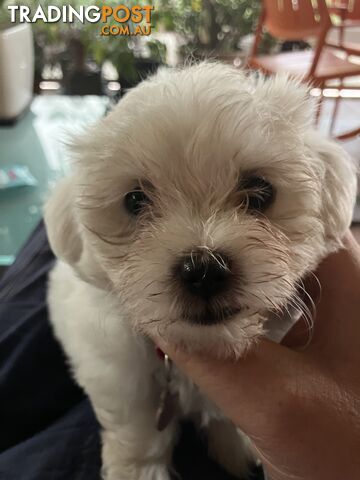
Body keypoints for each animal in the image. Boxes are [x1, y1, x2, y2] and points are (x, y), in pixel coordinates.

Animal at [43, 63, 356, 480]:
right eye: (135, 201)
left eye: (261, 191)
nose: (204, 270)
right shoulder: (117, 375)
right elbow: (138, 428)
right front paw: (137, 470)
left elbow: (223, 417)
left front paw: (234, 447)